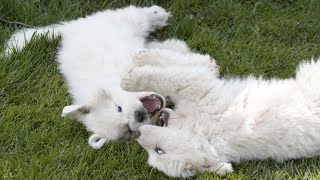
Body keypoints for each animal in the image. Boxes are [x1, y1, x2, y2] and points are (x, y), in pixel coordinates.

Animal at [121, 50, 320, 178]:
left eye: (159, 151)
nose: (137, 134)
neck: (203, 129)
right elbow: (188, 67)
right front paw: (143, 57)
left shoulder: (196, 86)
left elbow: (165, 77)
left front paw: (129, 79)